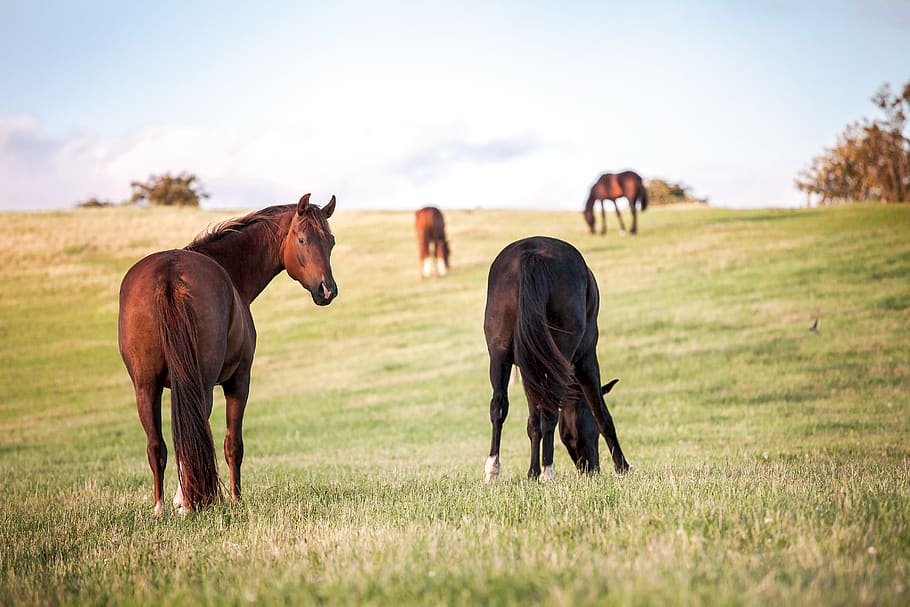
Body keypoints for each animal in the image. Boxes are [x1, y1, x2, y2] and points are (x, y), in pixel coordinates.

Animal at [118, 194, 338, 514]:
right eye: (302, 239)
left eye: (331, 241)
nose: (327, 290)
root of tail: (169, 274)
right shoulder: (239, 380)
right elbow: (233, 444)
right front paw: (234, 498)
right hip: (202, 384)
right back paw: (189, 502)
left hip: (145, 387)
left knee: (157, 445)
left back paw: (162, 507)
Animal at [483, 236, 630, 481]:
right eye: (593, 432)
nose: (592, 469)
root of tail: (531, 254)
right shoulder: (586, 359)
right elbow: (601, 412)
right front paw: (622, 467)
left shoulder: (528, 368)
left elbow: (533, 421)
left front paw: (532, 472)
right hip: (565, 354)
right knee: (550, 412)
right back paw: (548, 471)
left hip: (499, 353)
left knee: (499, 406)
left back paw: (493, 470)